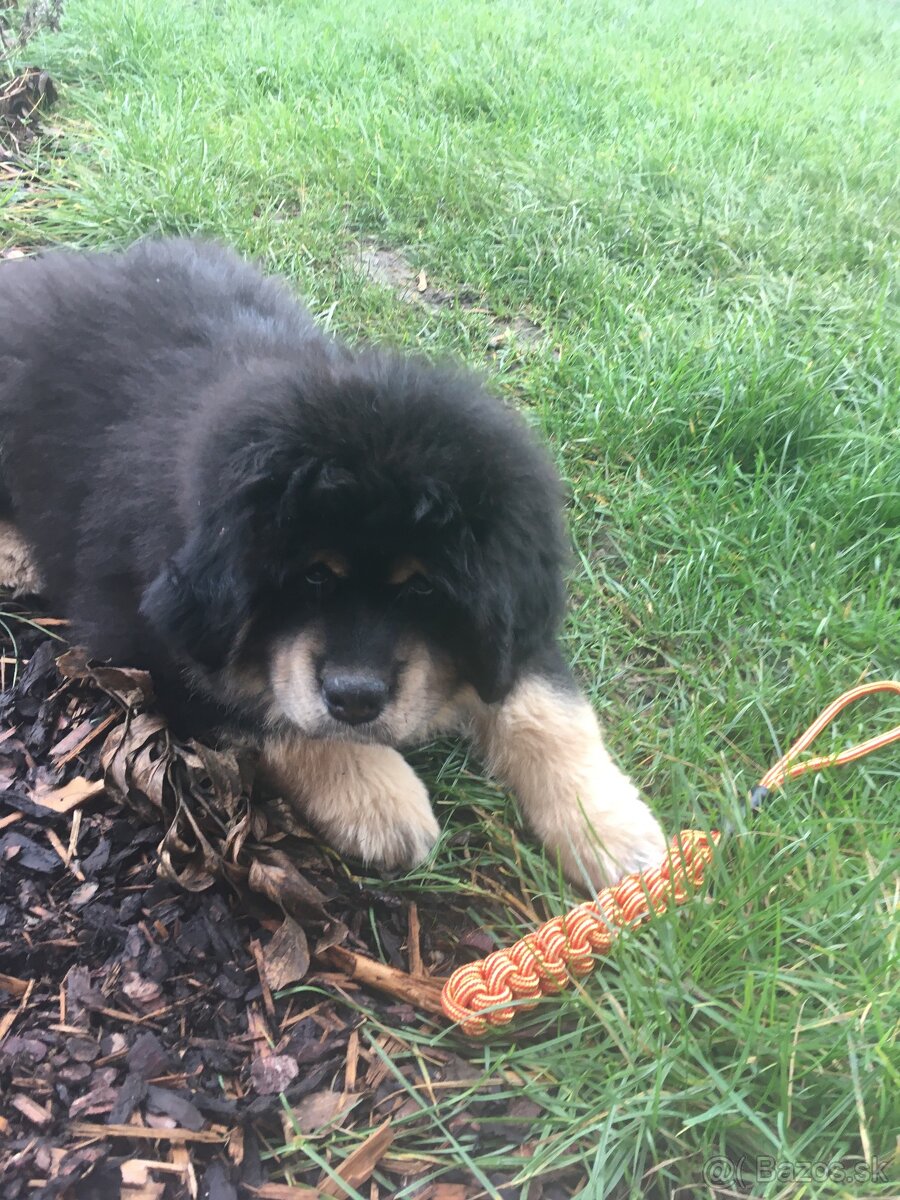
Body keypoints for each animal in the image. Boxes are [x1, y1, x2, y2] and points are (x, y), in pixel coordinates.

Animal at [0, 238, 667, 888]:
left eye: (423, 588)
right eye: (313, 574)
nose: (355, 699)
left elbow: (545, 708)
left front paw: (609, 828)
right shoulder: (148, 637)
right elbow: (271, 711)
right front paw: (381, 799)